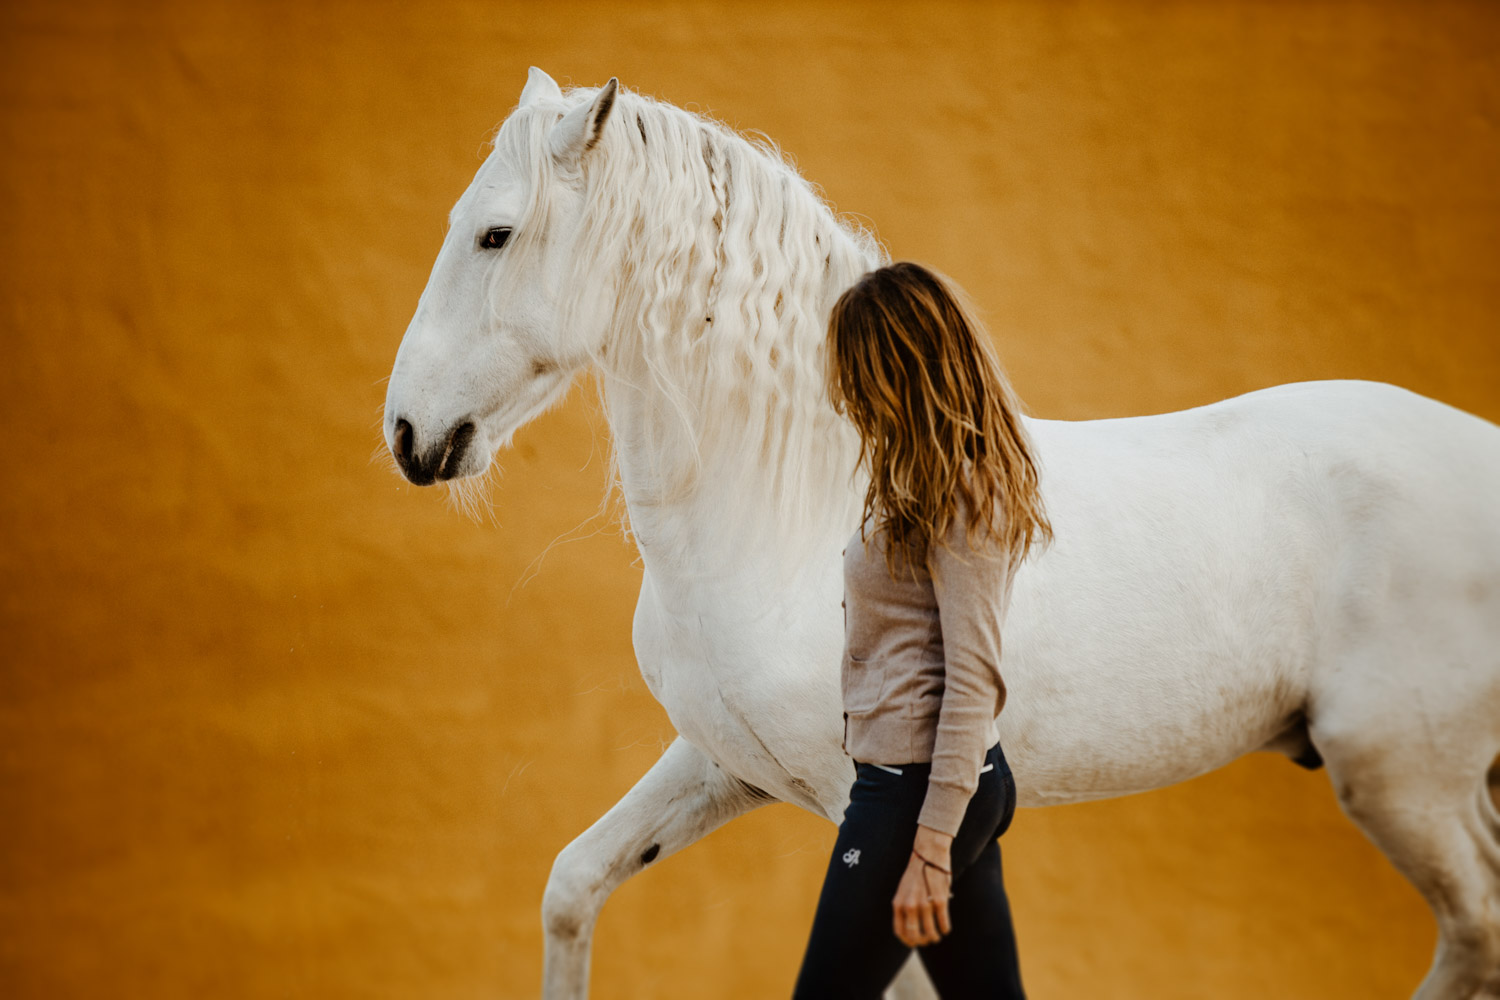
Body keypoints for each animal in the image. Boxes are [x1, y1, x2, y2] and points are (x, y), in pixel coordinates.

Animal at [387, 72, 1500, 1000]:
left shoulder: (876, 818)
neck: (791, 513)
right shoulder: (724, 764)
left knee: (1475, 931)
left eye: (494, 235)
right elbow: (574, 882)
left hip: (1403, 775)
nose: (405, 434)